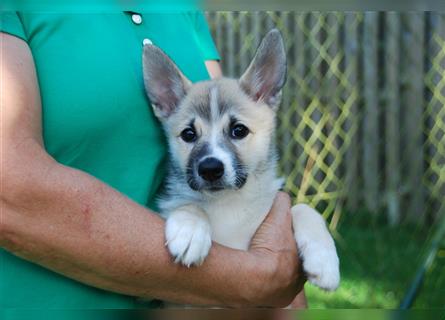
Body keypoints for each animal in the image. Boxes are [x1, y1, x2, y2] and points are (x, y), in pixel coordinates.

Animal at [142, 29, 340, 296]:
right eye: (189, 134)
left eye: (239, 130)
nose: (210, 169)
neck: (229, 203)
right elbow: (189, 205)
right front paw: (190, 230)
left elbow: (304, 209)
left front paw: (325, 261)